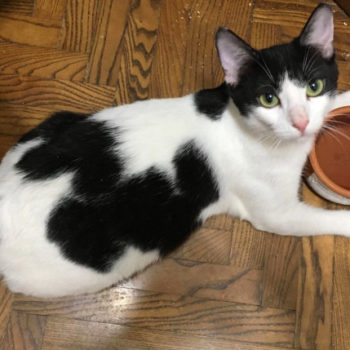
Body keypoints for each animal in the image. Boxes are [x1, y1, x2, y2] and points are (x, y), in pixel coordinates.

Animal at [0, 3, 350, 298]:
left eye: (314, 87)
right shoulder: (277, 214)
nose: (301, 122)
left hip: (53, 121)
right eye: (269, 99)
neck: (239, 122)